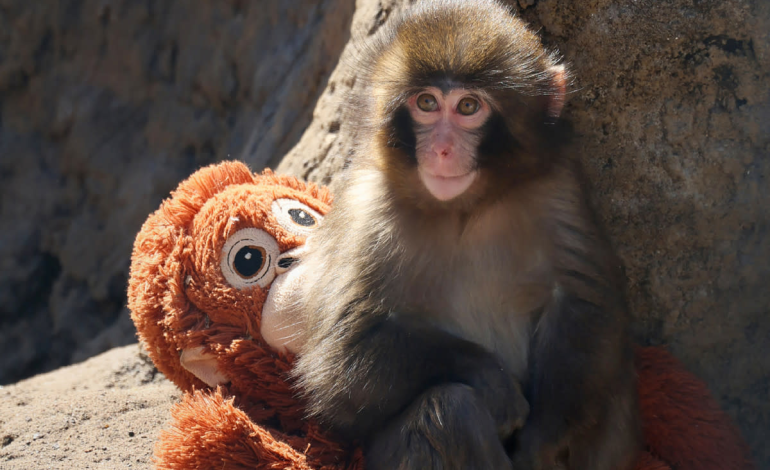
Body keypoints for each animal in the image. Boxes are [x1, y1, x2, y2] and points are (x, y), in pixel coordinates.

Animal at [293, 1, 642, 469]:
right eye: (426, 103)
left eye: (468, 106)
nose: (441, 149)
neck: (464, 208)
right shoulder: (367, 210)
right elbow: (341, 360)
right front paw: (491, 380)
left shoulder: (557, 184)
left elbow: (583, 303)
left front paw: (541, 442)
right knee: (449, 410)